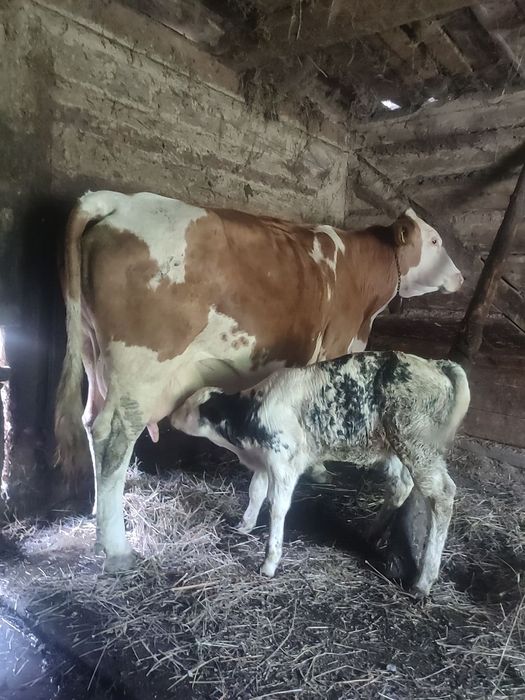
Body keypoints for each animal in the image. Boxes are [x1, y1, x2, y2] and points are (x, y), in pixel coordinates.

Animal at [55, 190, 463, 572]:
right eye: (434, 241)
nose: (460, 277)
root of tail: (119, 200)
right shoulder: (333, 346)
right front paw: (319, 468)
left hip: (94, 358)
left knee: (90, 422)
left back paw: (97, 512)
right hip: (140, 371)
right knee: (114, 438)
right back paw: (116, 547)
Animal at [171, 351, 470, 596]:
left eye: (186, 406)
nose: (170, 417)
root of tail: (437, 364)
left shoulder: (284, 463)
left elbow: (277, 507)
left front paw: (269, 562)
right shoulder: (267, 460)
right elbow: (255, 492)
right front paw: (244, 525)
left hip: (418, 445)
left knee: (442, 495)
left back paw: (424, 580)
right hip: (396, 448)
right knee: (401, 485)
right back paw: (372, 534)